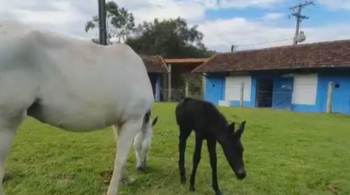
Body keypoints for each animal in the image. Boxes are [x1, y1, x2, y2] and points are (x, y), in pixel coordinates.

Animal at [0, 22, 156, 194]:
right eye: (148, 147)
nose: (142, 167)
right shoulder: (133, 120)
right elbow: (120, 159)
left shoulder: (119, 122)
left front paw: (125, 179)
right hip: (6, 124)